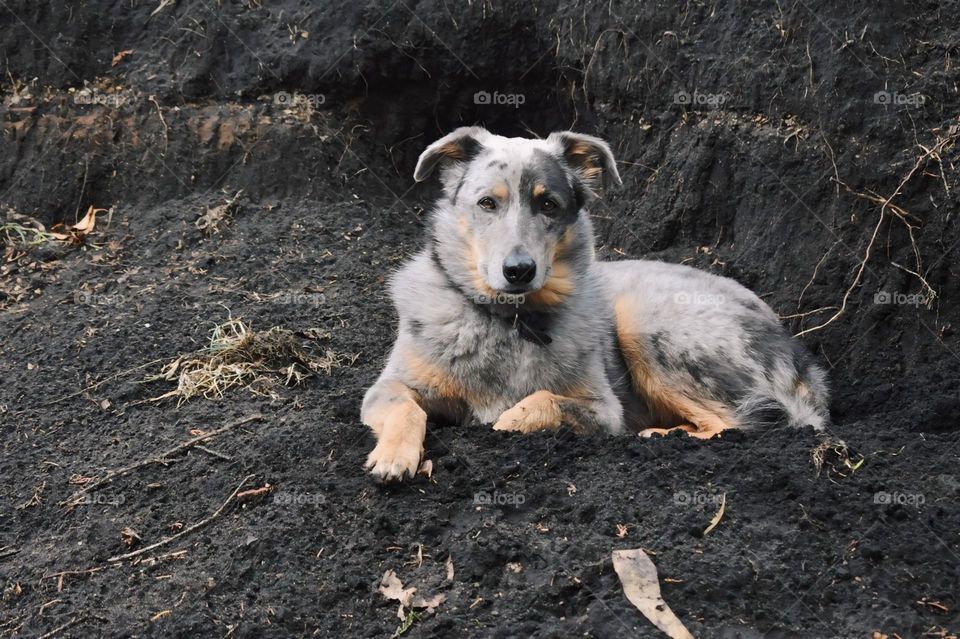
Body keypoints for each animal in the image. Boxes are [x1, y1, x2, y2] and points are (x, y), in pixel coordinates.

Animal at [358, 126, 824, 480]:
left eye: (549, 204)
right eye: (487, 203)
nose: (519, 270)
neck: (510, 319)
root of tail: (803, 360)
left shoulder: (604, 409)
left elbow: (545, 399)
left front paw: (510, 420)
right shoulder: (387, 388)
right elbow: (405, 409)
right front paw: (394, 456)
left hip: (644, 319)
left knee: (736, 423)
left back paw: (662, 436)